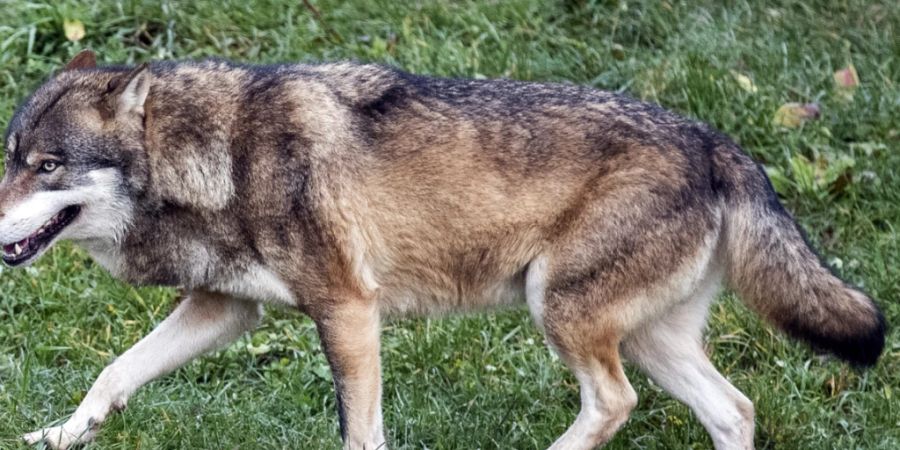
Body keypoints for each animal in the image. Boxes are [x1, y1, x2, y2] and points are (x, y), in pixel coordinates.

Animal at [1, 51, 884, 448]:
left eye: (47, 167)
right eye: (10, 158)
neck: (223, 156)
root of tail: (717, 142)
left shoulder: (348, 312)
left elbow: (360, 433)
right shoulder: (227, 309)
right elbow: (114, 374)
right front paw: (57, 438)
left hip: (561, 314)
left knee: (616, 403)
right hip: (641, 336)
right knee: (733, 410)